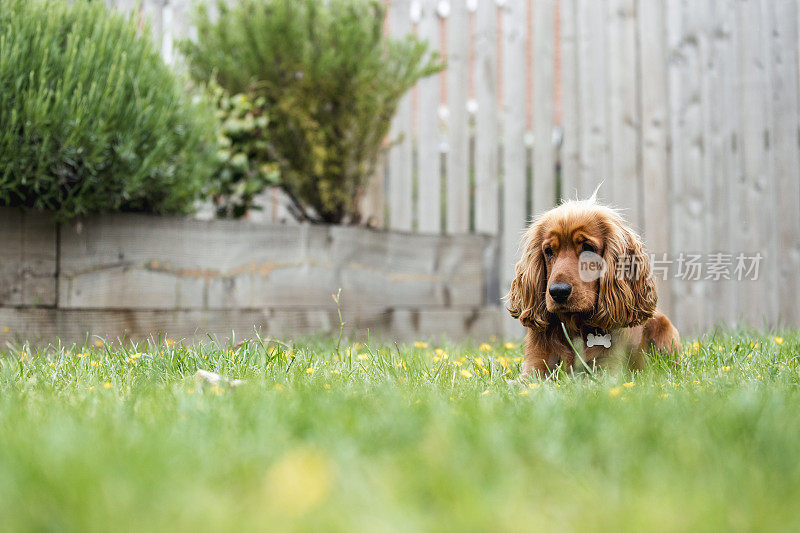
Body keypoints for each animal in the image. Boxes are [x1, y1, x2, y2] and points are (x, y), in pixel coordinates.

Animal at [504, 196, 680, 378]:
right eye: (548, 251)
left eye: (588, 248)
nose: (558, 292)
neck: (575, 326)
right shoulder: (535, 366)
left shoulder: (608, 370)